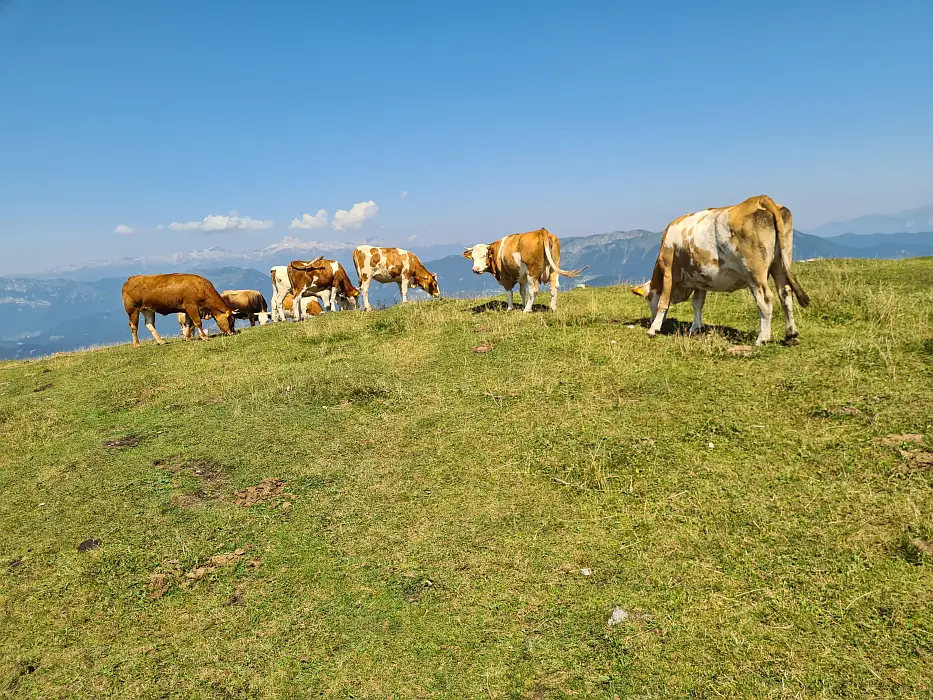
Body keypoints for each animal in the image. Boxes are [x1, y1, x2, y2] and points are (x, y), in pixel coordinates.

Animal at [628, 194, 812, 344]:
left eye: (648, 298)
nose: (650, 319)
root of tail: (758, 199)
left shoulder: (668, 272)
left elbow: (663, 302)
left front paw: (653, 328)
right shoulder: (700, 279)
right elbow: (697, 304)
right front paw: (695, 327)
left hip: (754, 274)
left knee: (766, 299)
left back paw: (763, 338)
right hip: (780, 264)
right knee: (785, 293)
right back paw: (791, 334)